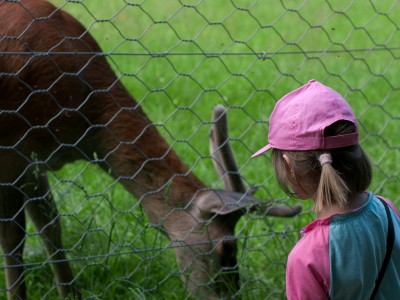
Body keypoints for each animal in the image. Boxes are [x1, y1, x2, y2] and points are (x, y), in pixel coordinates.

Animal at [0, 1, 300, 298]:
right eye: (227, 247)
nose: (231, 295)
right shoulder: (12, 150)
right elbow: (14, 240)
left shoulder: (36, 159)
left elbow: (51, 228)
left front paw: (71, 293)